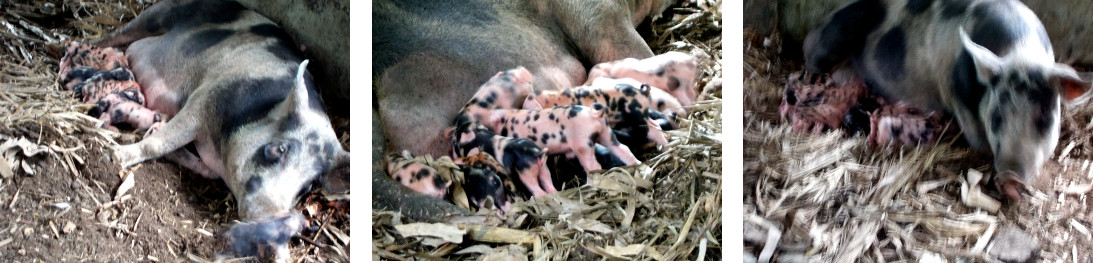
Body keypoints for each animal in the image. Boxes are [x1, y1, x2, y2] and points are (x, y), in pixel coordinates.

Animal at [93, 0, 349, 259]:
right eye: (280, 149)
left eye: (307, 186)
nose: (274, 219)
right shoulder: (205, 98)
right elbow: (162, 141)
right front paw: (115, 155)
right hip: (161, 13)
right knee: (118, 35)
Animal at [804, 0, 1093, 199]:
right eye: (997, 116)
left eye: (1044, 116)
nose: (1012, 178)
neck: (1020, 54)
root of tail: (814, 31)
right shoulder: (956, 99)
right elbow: (977, 140)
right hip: (828, 45)